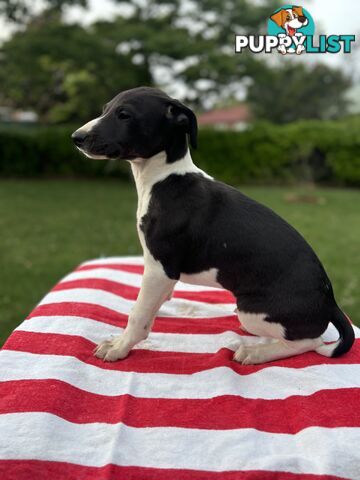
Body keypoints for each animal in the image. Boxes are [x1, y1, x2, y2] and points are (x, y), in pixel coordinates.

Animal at [71, 86, 354, 364]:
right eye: (105, 109)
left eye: (124, 115)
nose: (76, 137)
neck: (165, 177)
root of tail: (330, 299)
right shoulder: (161, 274)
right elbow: (151, 303)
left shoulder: (160, 268)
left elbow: (139, 313)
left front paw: (120, 346)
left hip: (252, 309)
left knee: (311, 342)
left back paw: (256, 353)